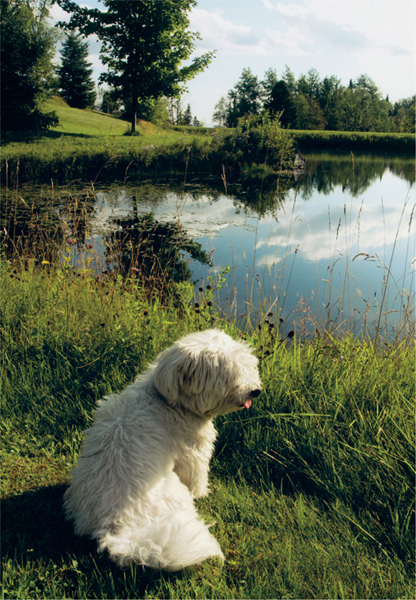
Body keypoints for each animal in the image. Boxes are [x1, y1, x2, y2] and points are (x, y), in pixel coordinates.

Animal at [63, 330, 262, 568]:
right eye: (230, 375)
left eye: (247, 365)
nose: (256, 391)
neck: (169, 401)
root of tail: (114, 527)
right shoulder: (193, 454)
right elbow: (197, 478)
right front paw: (203, 493)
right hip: (175, 491)